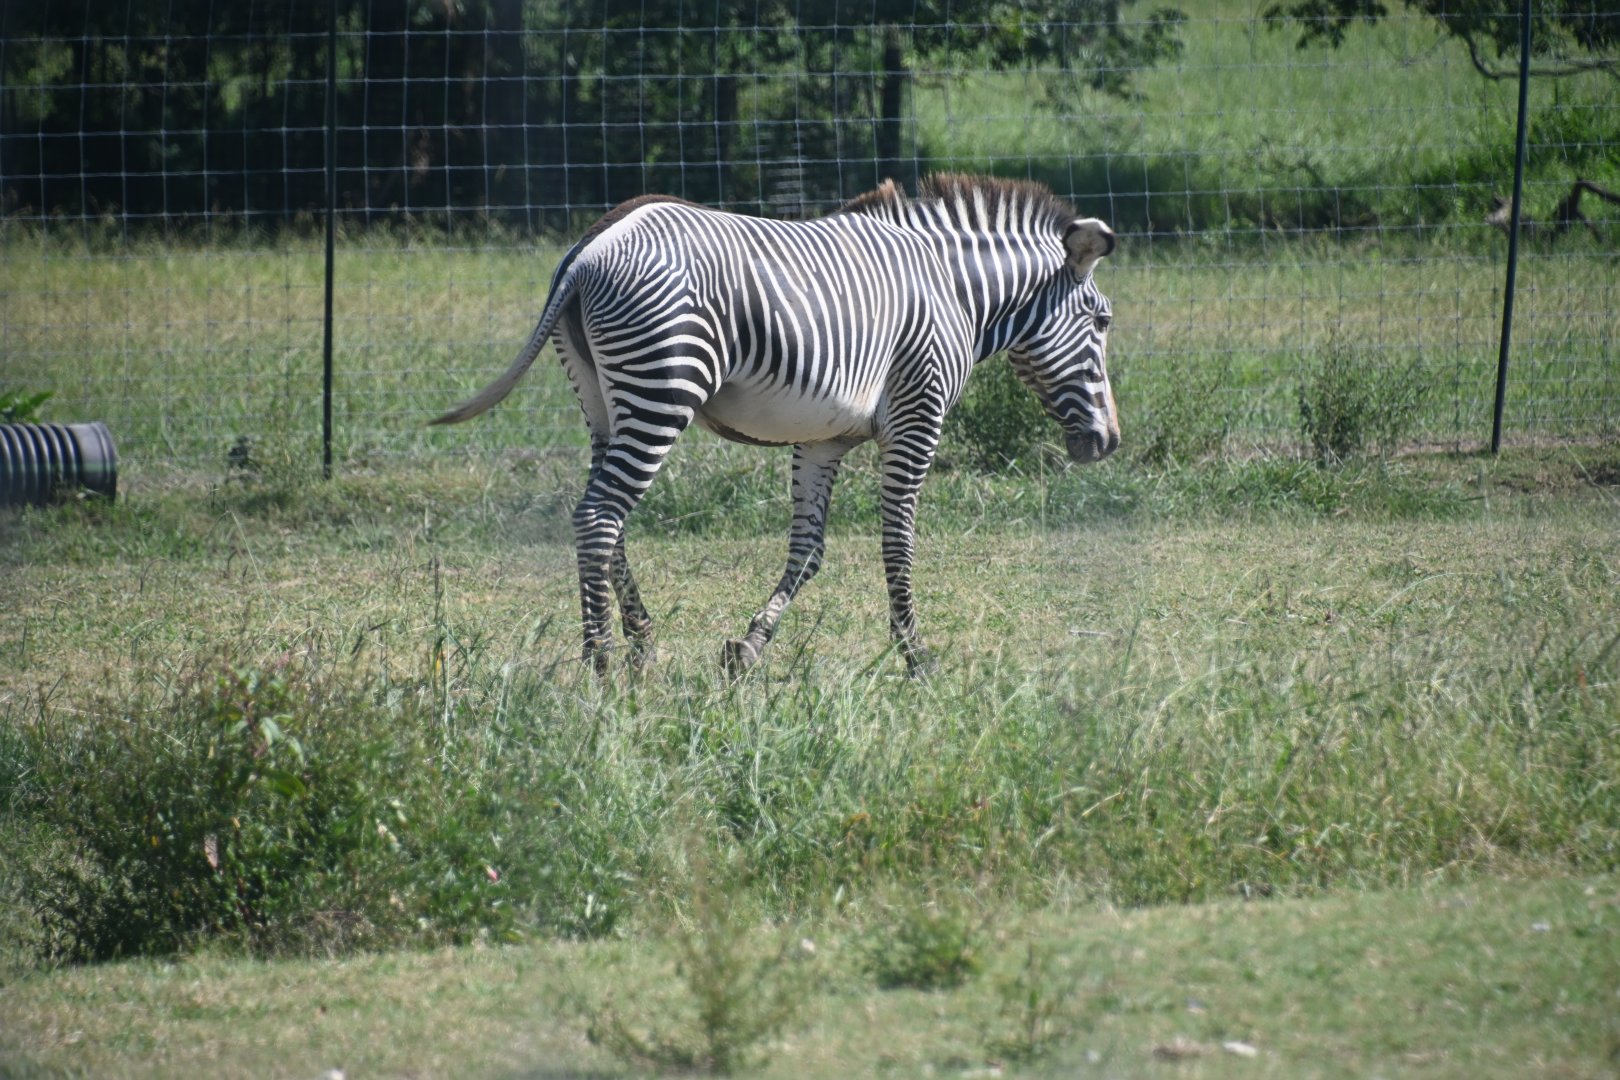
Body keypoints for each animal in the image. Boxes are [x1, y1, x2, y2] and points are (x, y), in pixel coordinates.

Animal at [432, 174, 1118, 674]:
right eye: (1103, 321)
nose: (1107, 442)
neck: (954, 290)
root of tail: (592, 247)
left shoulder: (823, 440)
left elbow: (808, 550)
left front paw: (750, 645)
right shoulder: (916, 416)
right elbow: (898, 540)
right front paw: (916, 656)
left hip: (600, 399)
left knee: (605, 519)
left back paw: (642, 641)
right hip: (662, 387)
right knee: (599, 517)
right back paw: (600, 662)